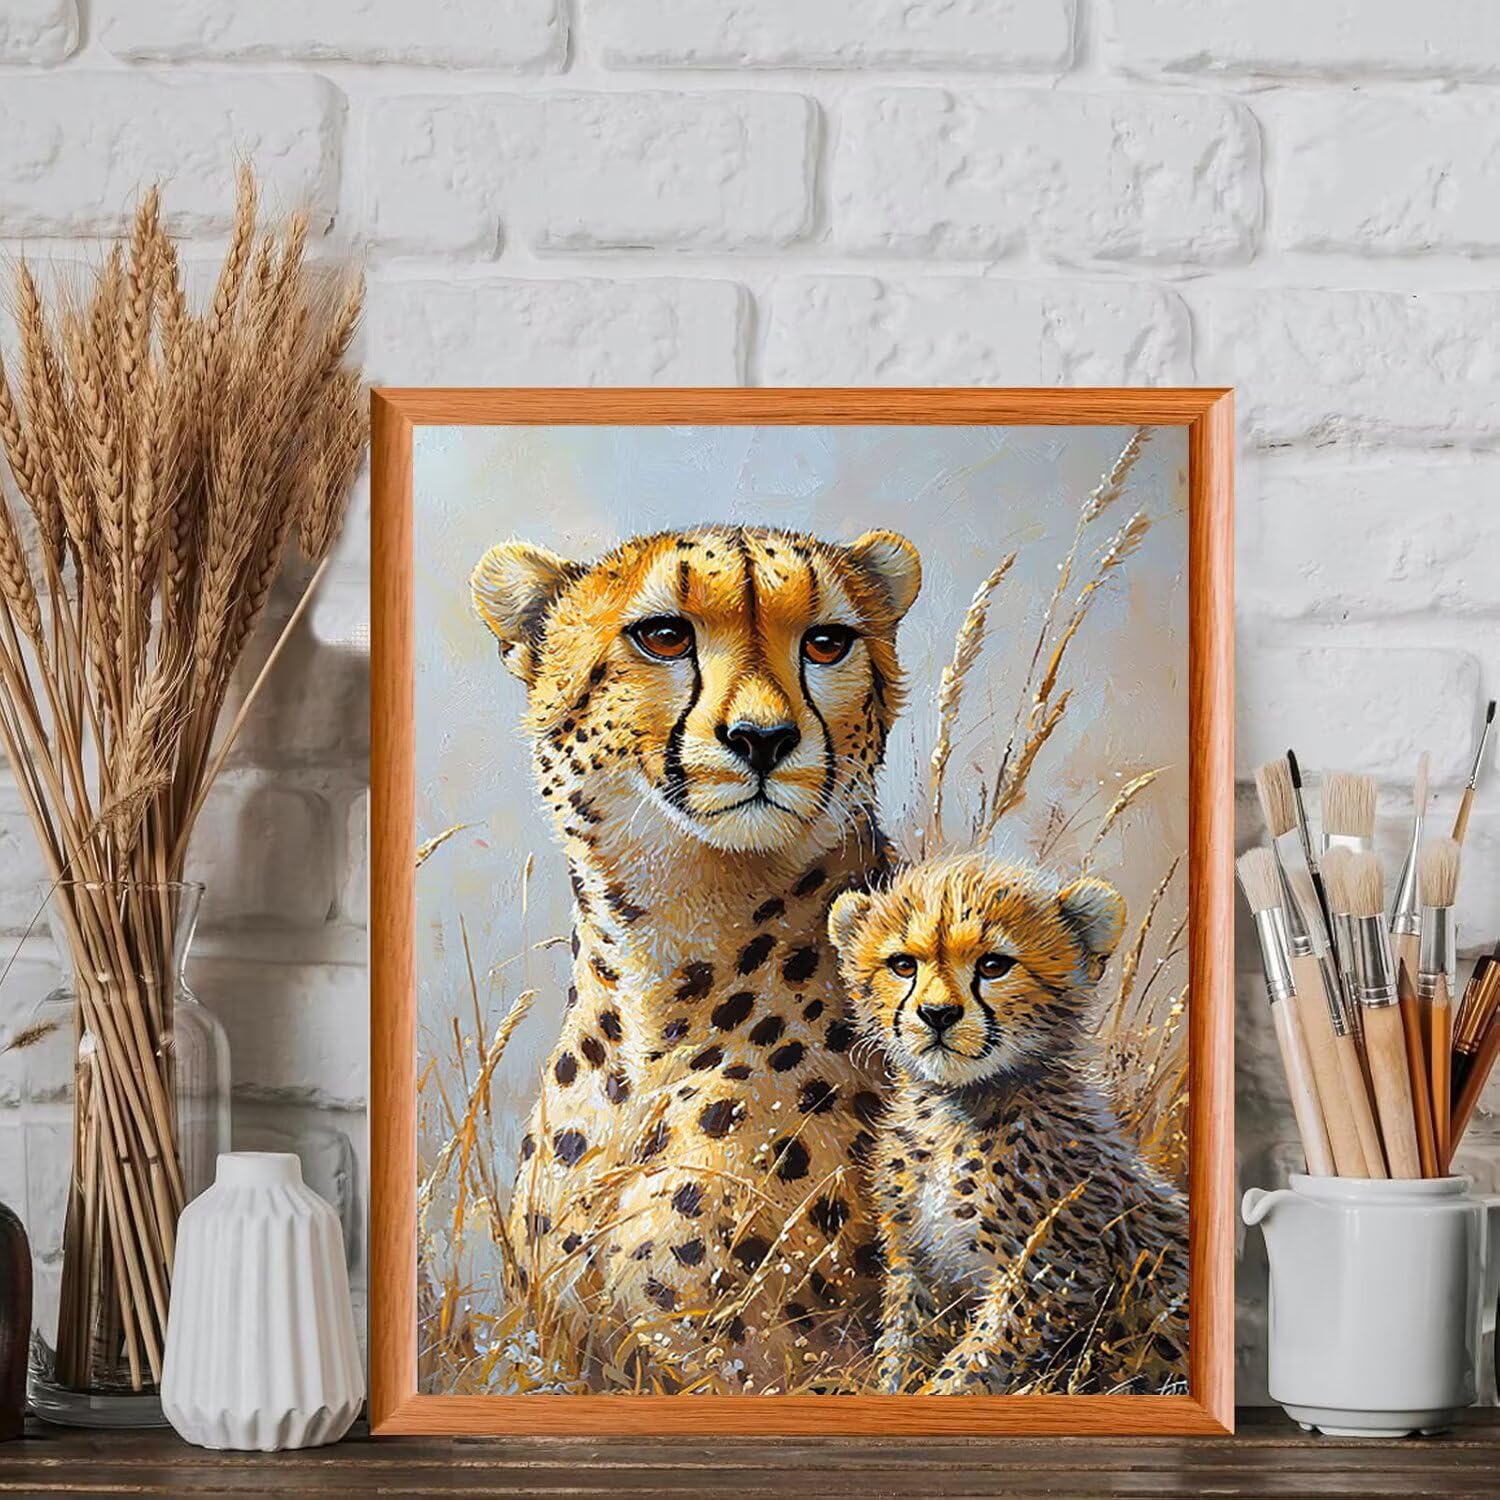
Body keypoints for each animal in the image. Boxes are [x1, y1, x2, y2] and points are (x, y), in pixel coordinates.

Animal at [827, 852, 1189, 1397]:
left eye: (993, 965)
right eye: (903, 964)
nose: (937, 1014)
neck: (955, 1110)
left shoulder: (1049, 1276)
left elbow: (969, 1366)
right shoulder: (915, 1264)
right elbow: (904, 1347)